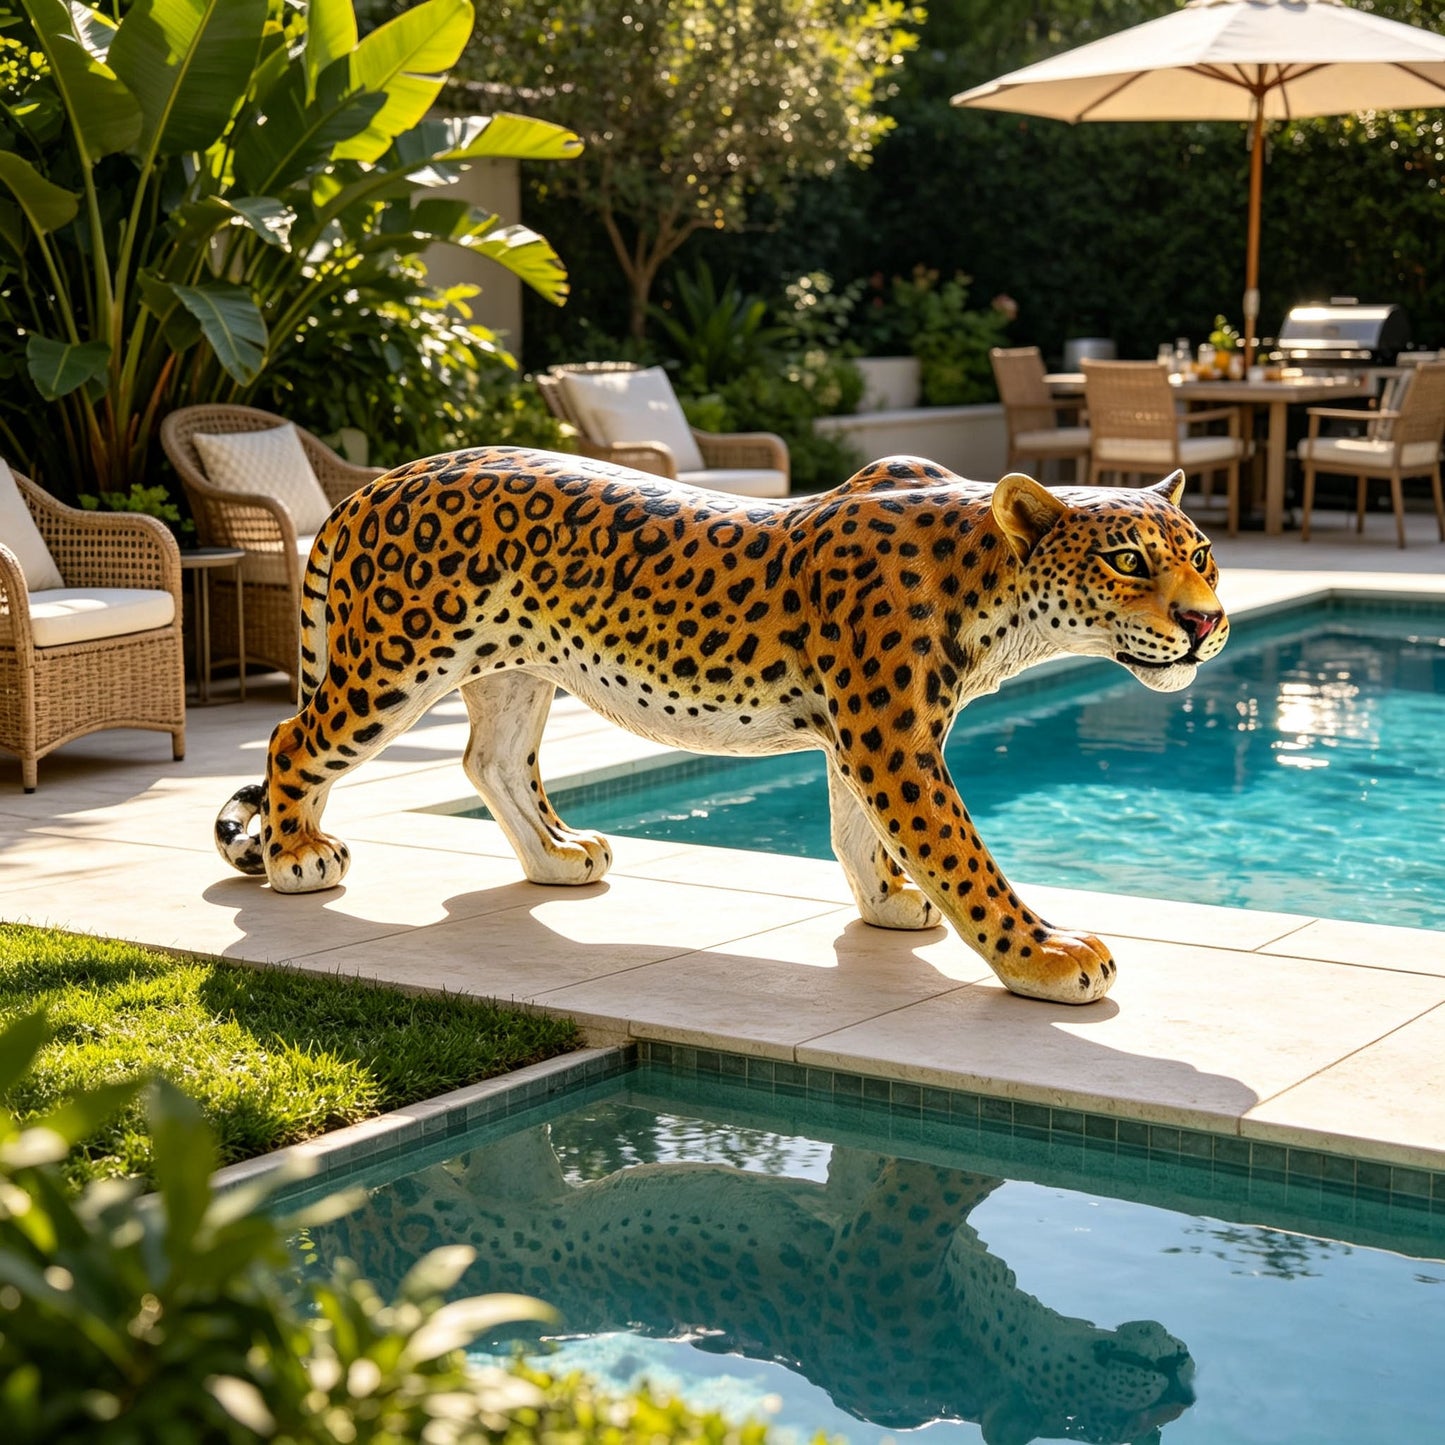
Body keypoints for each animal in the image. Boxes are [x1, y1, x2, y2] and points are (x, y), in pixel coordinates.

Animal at [215, 446, 1228, 1005]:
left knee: (490, 760)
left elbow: (856, 829)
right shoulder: (891, 735)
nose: (1206, 621)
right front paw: (1045, 955)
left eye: (1204, 555)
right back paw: (297, 856)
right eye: (1129, 560)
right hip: (394, 662)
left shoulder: (865, 732)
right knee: (294, 739)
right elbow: (961, 857)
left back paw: (559, 857)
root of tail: (375, 483)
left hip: (513, 666)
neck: (996, 593)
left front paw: (886, 903)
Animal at [305, 1125, 1197, 1445]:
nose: (1184, 1382)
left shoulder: (862, 1202)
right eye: (1121, 1428)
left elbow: (882, 1158)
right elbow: (948, 1173)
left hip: (511, 1179)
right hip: (423, 1220)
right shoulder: (885, 1239)